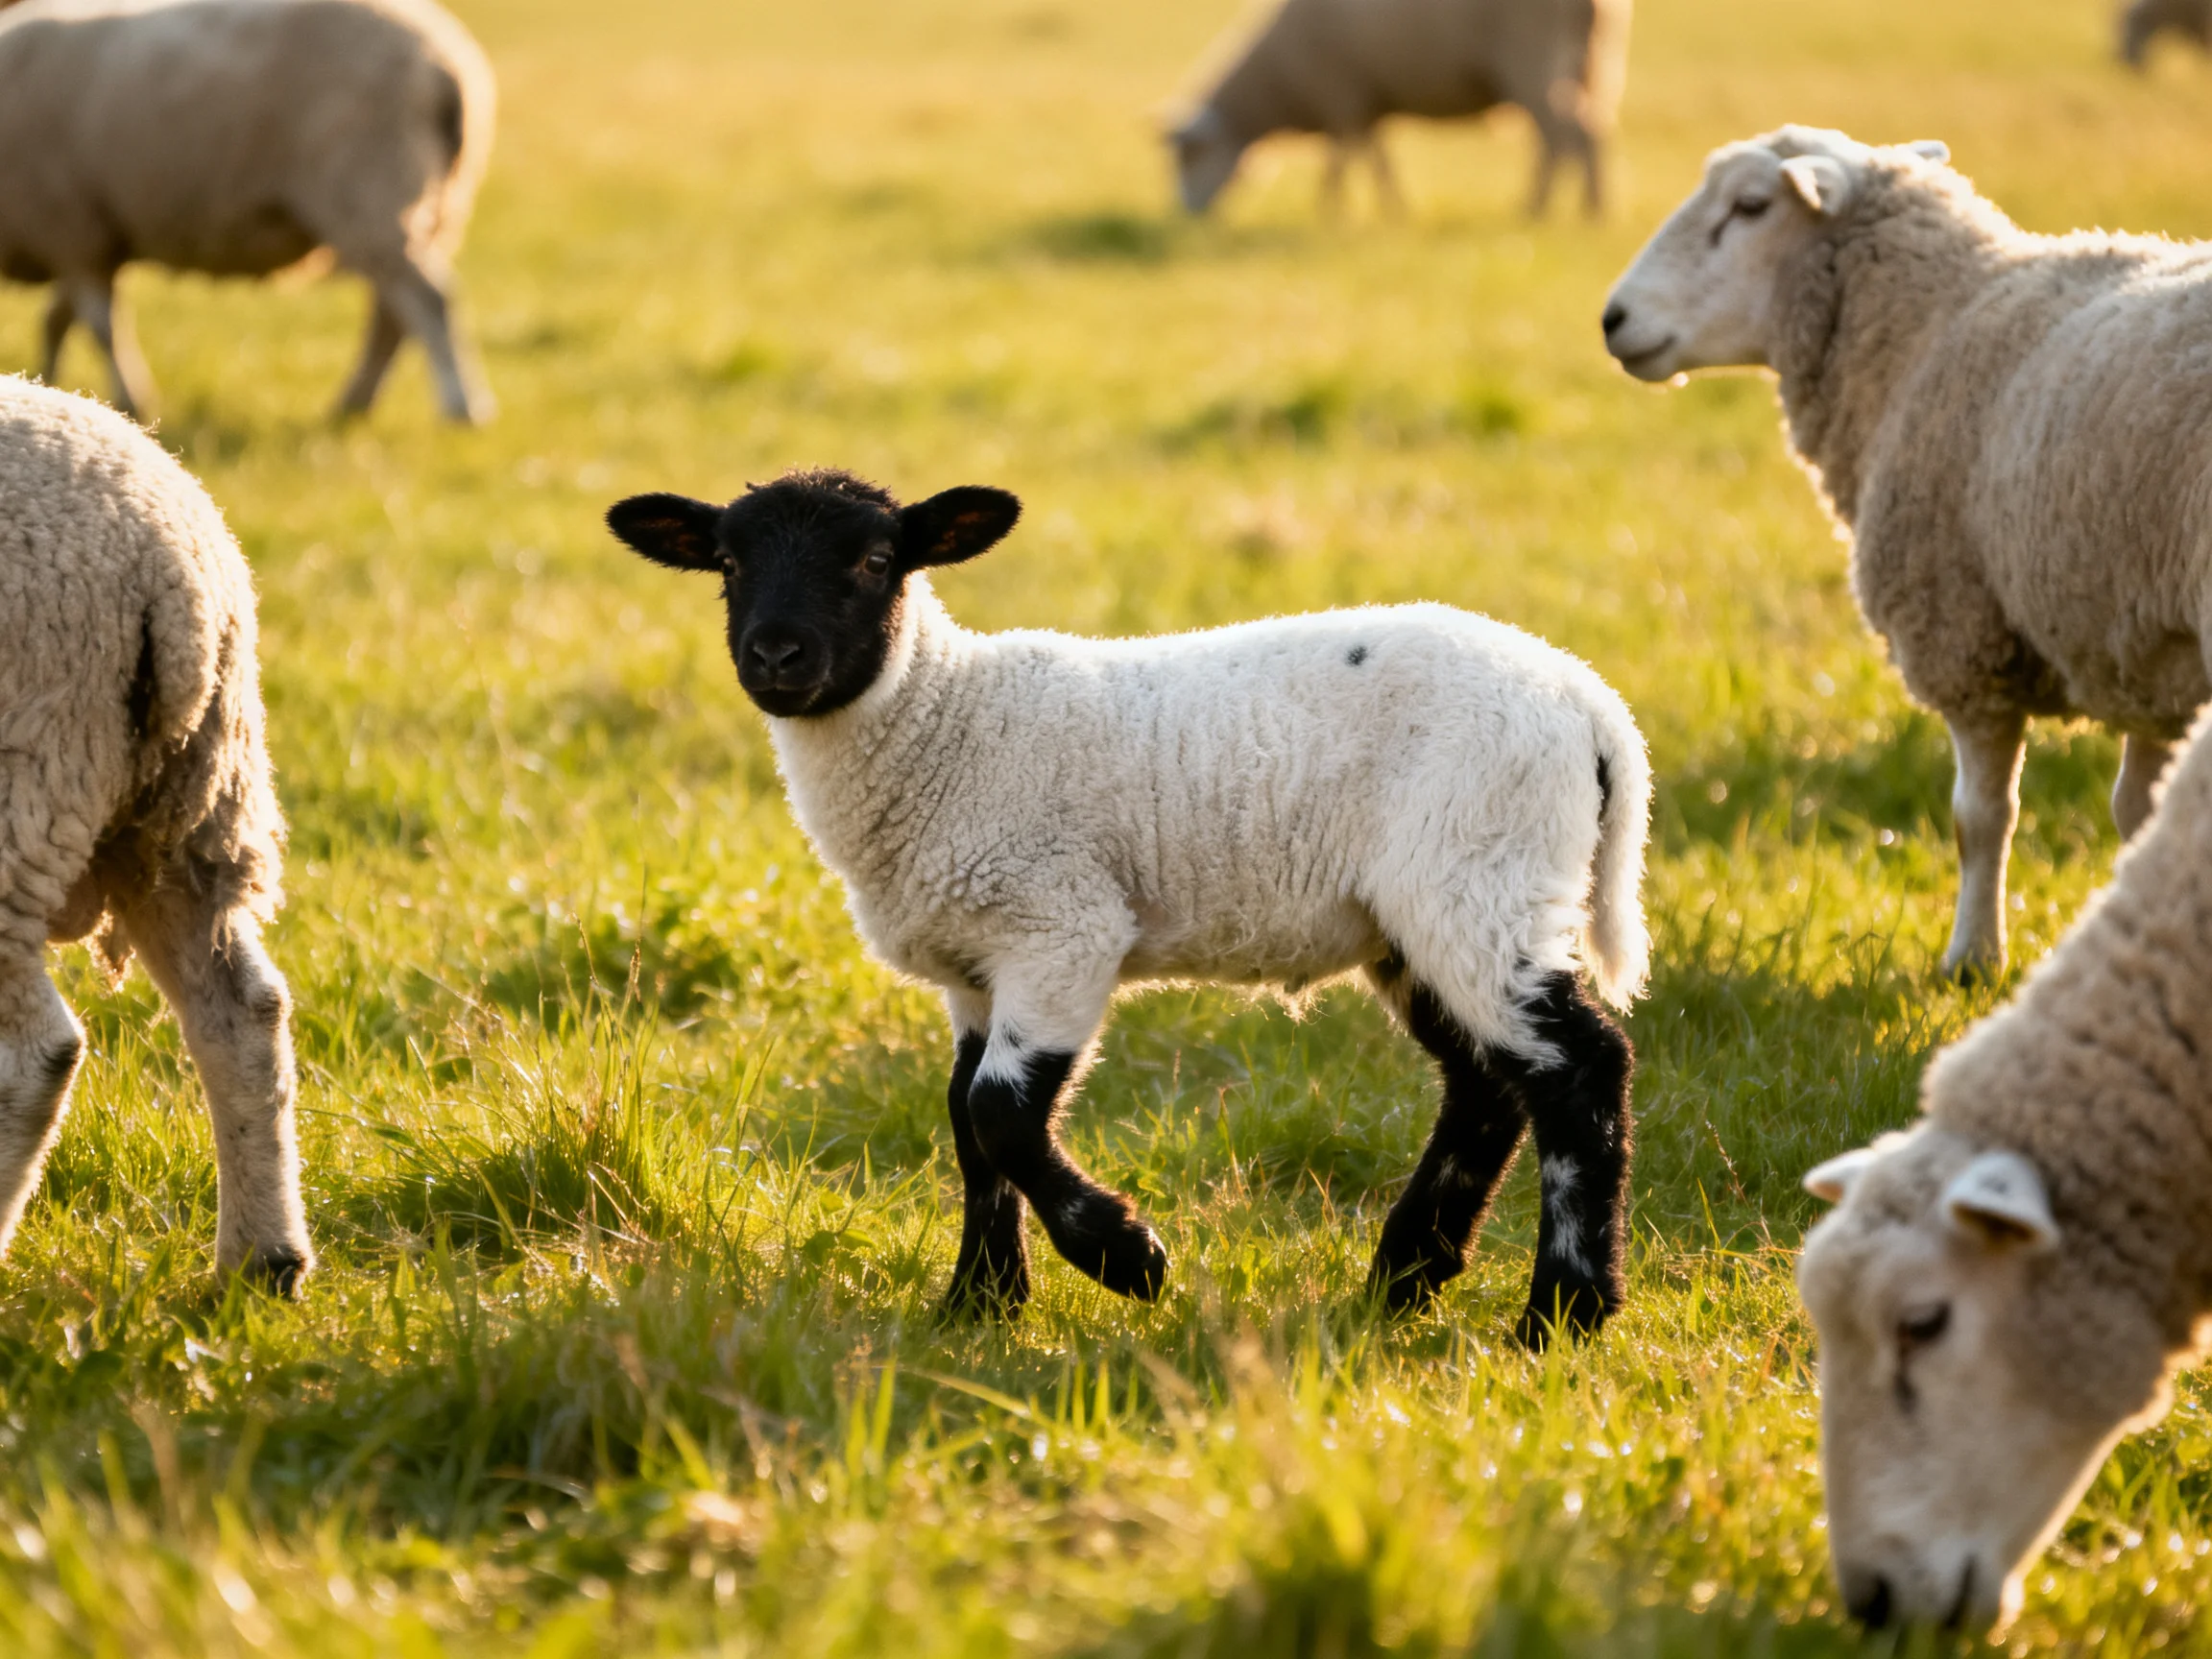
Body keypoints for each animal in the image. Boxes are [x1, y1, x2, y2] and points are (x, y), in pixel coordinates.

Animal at [0, 0, 496, 425]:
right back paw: (353, 405)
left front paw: (131, 399)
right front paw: (47, 380)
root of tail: (443, 64)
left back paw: (460, 406)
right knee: (392, 314)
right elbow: (58, 319)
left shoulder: (69, 224)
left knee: (428, 299)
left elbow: (102, 326)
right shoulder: (89, 236)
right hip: (432, 204)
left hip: (369, 185)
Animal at [0, 375, 309, 1289]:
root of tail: (166, 567)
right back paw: (262, 1261)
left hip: (32, 781)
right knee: (243, 1009)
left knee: (37, 1052)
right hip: (183, 811)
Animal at [605, 468, 1652, 1343]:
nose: (776, 655)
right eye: (729, 564)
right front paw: (979, 1303)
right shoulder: (972, 969)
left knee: (1580, 1069)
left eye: (872, 561)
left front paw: (1126, 1258)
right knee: (1487, 1083)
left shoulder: (1060, 928)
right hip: (1419, 917)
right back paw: (1405, 1277)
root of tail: (1589, 703)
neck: (942, 723)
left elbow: (999, 1113)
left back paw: (1562, 1312)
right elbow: (964, 1124)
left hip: (1480, 873)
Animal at [1167, 0, 1632, 219]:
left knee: (1568, 131)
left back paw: (1551, 211)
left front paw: (1333, 211)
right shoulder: (1362, 104)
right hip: (1595, 58)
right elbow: (1369, 159)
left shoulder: (1341, 95)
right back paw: (1579, 208)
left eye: (1190, 156)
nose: (1187, 213)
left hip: (1530, 53)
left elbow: (1346, 160)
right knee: (1580, 132)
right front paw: (1388, 209)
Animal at [1603, 124, 2212, 980]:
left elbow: (1978, 818)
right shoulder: (2142, 647)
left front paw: (1971, 960)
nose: (1613, 319)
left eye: (1750, 207)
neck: (1926, 326)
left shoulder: (1963, 636)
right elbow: (2139, 815)